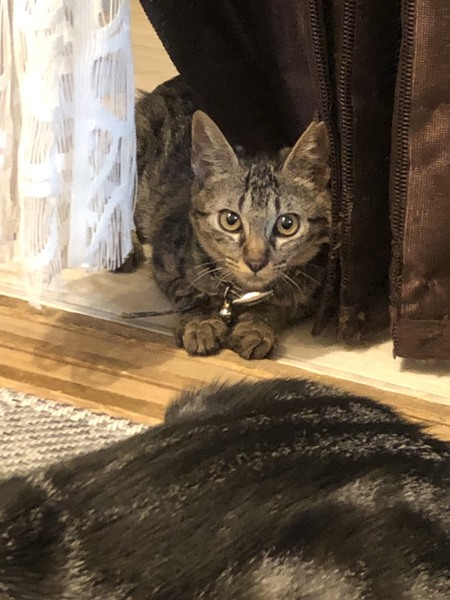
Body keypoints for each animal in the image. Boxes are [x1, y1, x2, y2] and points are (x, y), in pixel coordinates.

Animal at [126, 77, 331, 359]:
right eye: (230, 220)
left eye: (287, 224)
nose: (255, 262)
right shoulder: (164, 259)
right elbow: (188, 292)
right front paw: (201, 321)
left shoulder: (313, 289)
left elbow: (278, 303)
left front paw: (256, 326)